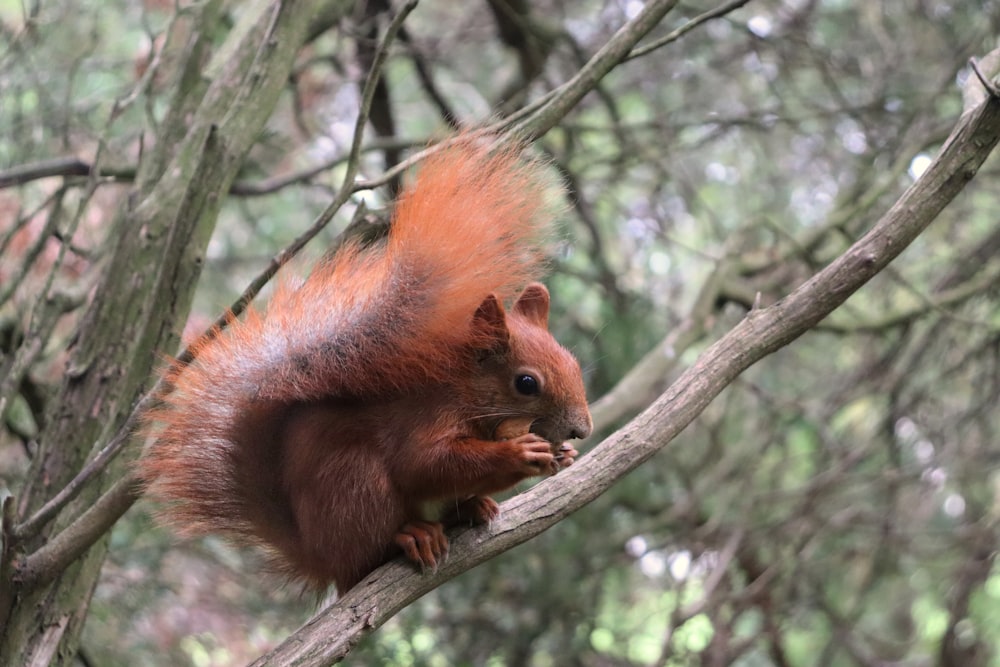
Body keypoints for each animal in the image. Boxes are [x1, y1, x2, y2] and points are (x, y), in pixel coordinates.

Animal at [140, 138, 592, 592]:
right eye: (526, 383)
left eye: (574, 362)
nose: (582, 430)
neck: (465, 390)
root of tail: (320, 558)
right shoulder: (425, 415)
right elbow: (424, 463)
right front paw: (518, 453)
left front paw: (565, 455)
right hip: (354, 482)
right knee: (370, 549)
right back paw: (411, 535)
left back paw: (473, 508)